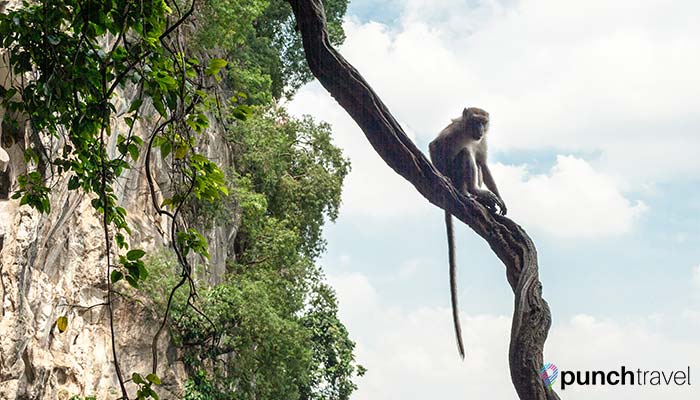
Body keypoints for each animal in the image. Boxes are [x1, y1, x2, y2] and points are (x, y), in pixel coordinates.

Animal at [426, 105, 508, 356]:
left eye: (484, 122)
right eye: (475, 121)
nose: (480, 129)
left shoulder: (483, 141)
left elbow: (484, 163)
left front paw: (501, 200)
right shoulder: (453, 132)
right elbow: (434, 146)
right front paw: (441, 175)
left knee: (474, 160)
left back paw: (480, 195)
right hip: (458, 174)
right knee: (464, 155)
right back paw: (469, 190)